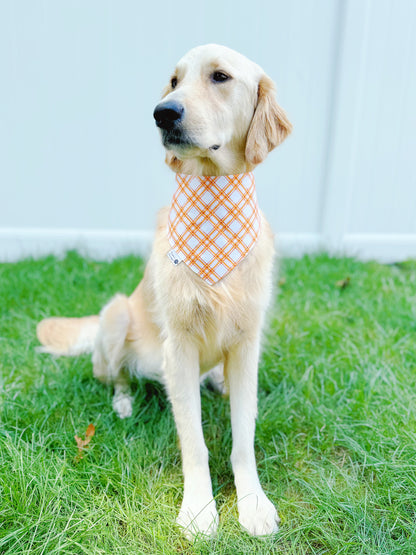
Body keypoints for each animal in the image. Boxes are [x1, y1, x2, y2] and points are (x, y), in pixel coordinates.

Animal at [38, 45, 292, 540]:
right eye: (174, 81)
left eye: (220, 77)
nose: (162, 113)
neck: (214, 201)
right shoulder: (180, 343)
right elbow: (194, 441)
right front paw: (199, 509)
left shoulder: (247, 341)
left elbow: (243, 437)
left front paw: (252, 503)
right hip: (116, 314)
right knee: (114, 374)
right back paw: (122, 402)